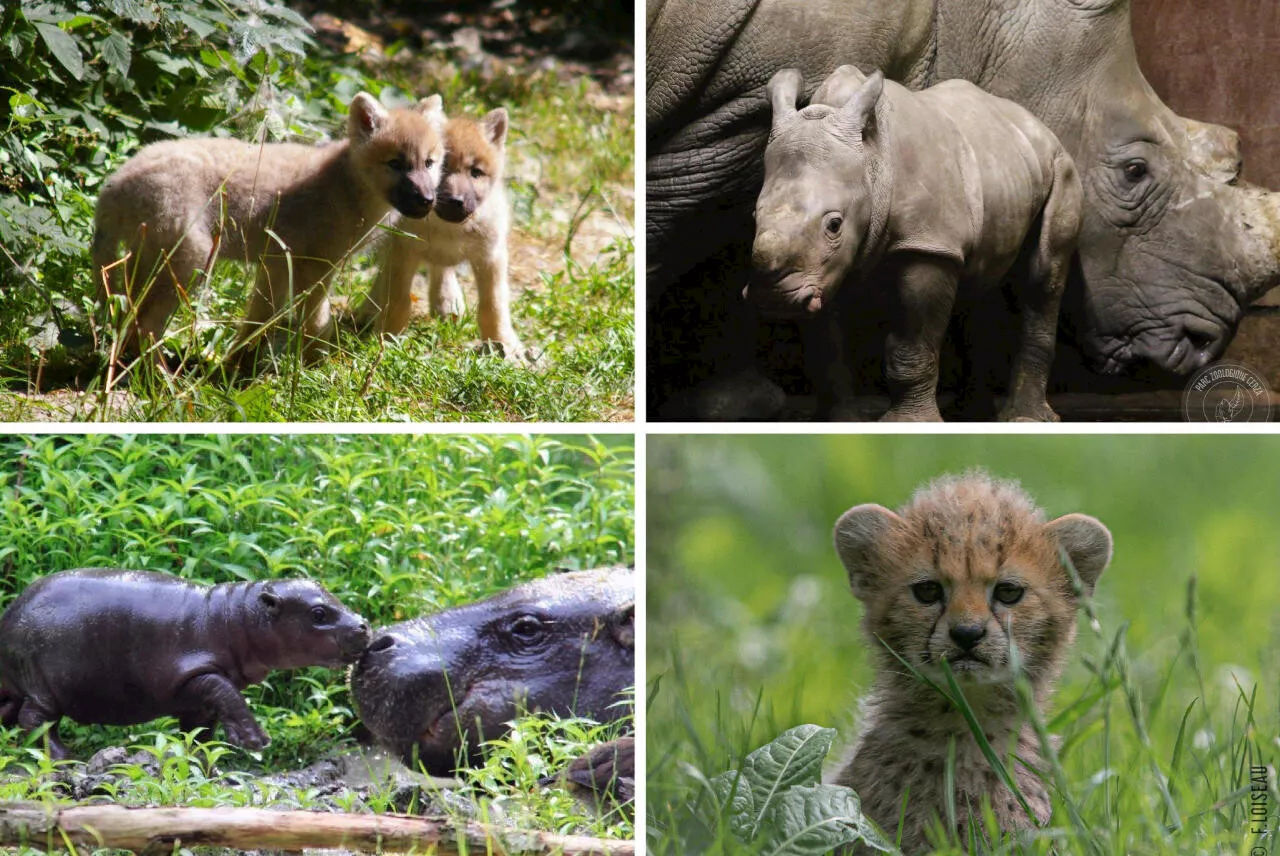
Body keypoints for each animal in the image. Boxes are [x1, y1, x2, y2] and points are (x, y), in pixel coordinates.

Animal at [0, 568, 371, 752]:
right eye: (319, 613)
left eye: (332, 596)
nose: (363, 624)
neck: (234, 617)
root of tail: (10, 614)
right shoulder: (191, 673)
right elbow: (228, 695)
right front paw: (255, 741)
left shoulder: (196, 698)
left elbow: (201, 730)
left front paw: (206, 763)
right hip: (41, 684)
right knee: (34, 719)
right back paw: (65, 759)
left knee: (13, 713)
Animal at [747, 68, 1085, 422]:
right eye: (754, 215)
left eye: (834, 225)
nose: (774, 299)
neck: (870, 161)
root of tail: (1039, 126)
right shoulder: (822, 269)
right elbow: (827, 350)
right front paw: (839, 422)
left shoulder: (926, 245)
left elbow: (911, 344)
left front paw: (908, 422)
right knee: (974, 280)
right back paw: (971, 414)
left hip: (1062, 167)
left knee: (1043, 275)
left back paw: (1024, 418)